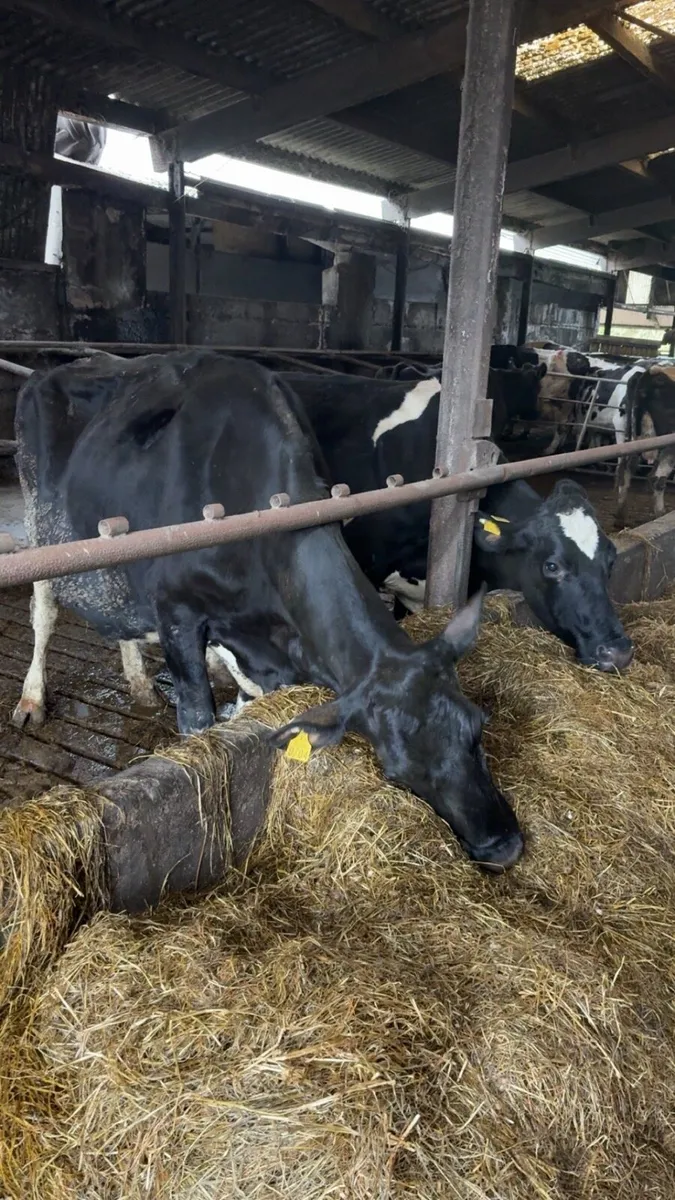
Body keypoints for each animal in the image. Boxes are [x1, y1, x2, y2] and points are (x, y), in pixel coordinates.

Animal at [12, 350, 524, 871]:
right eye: (399, 771)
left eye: (478, 726)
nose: (504, 846)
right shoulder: (177, 614)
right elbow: (198, 724)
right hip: (44, 533)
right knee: (43, 612)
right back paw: (31, 700)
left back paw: (139, 685)